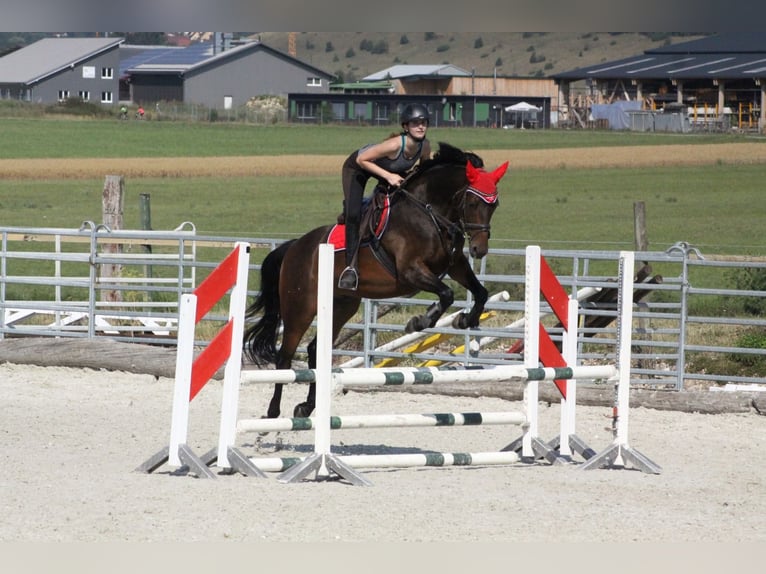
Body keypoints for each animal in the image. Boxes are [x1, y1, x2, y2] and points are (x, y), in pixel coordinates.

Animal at [244, 140, 510, 418]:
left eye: (494, 205)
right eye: (473, 203)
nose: (480, 249)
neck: (430, 213)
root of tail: (294, 247)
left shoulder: (455, 265)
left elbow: (480, 293)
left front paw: (465, 320)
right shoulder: (410, 271)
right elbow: (446, 294)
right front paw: (418, 322)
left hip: (341, 306)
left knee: (315, 350)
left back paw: (307, 406)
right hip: (300, 308)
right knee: (285, 356)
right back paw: (273, 411)